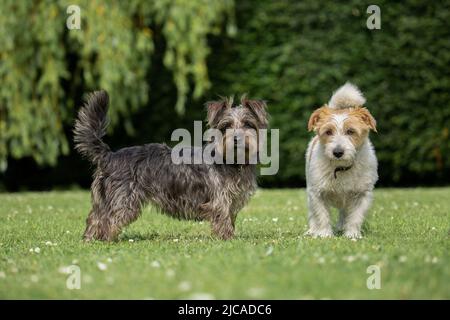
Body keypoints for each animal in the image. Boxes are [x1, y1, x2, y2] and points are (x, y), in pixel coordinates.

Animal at [74, 91, 268, 241]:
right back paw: (106, 239)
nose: (237, 138)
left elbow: (229, 218)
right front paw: (228, 239)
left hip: (103, 198)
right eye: (226, 126)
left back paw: (91, 239)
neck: (234, 161)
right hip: (123, 199)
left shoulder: (231, 199)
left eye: (248, 124)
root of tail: (110, 156)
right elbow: (223, 218)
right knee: (109, 219)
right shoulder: (220, 198)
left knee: (94, 218)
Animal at [304, 84, 378, 239]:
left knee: (344, 213)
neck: (341, 167)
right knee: (313, 214)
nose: (338, 152)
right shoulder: (317, 193)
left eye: (350, 131)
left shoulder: (361, 194)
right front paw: (325, 234)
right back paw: (312, 230)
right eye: (328, 132)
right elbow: (321, 215)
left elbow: (355, 217)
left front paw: (352, 234)